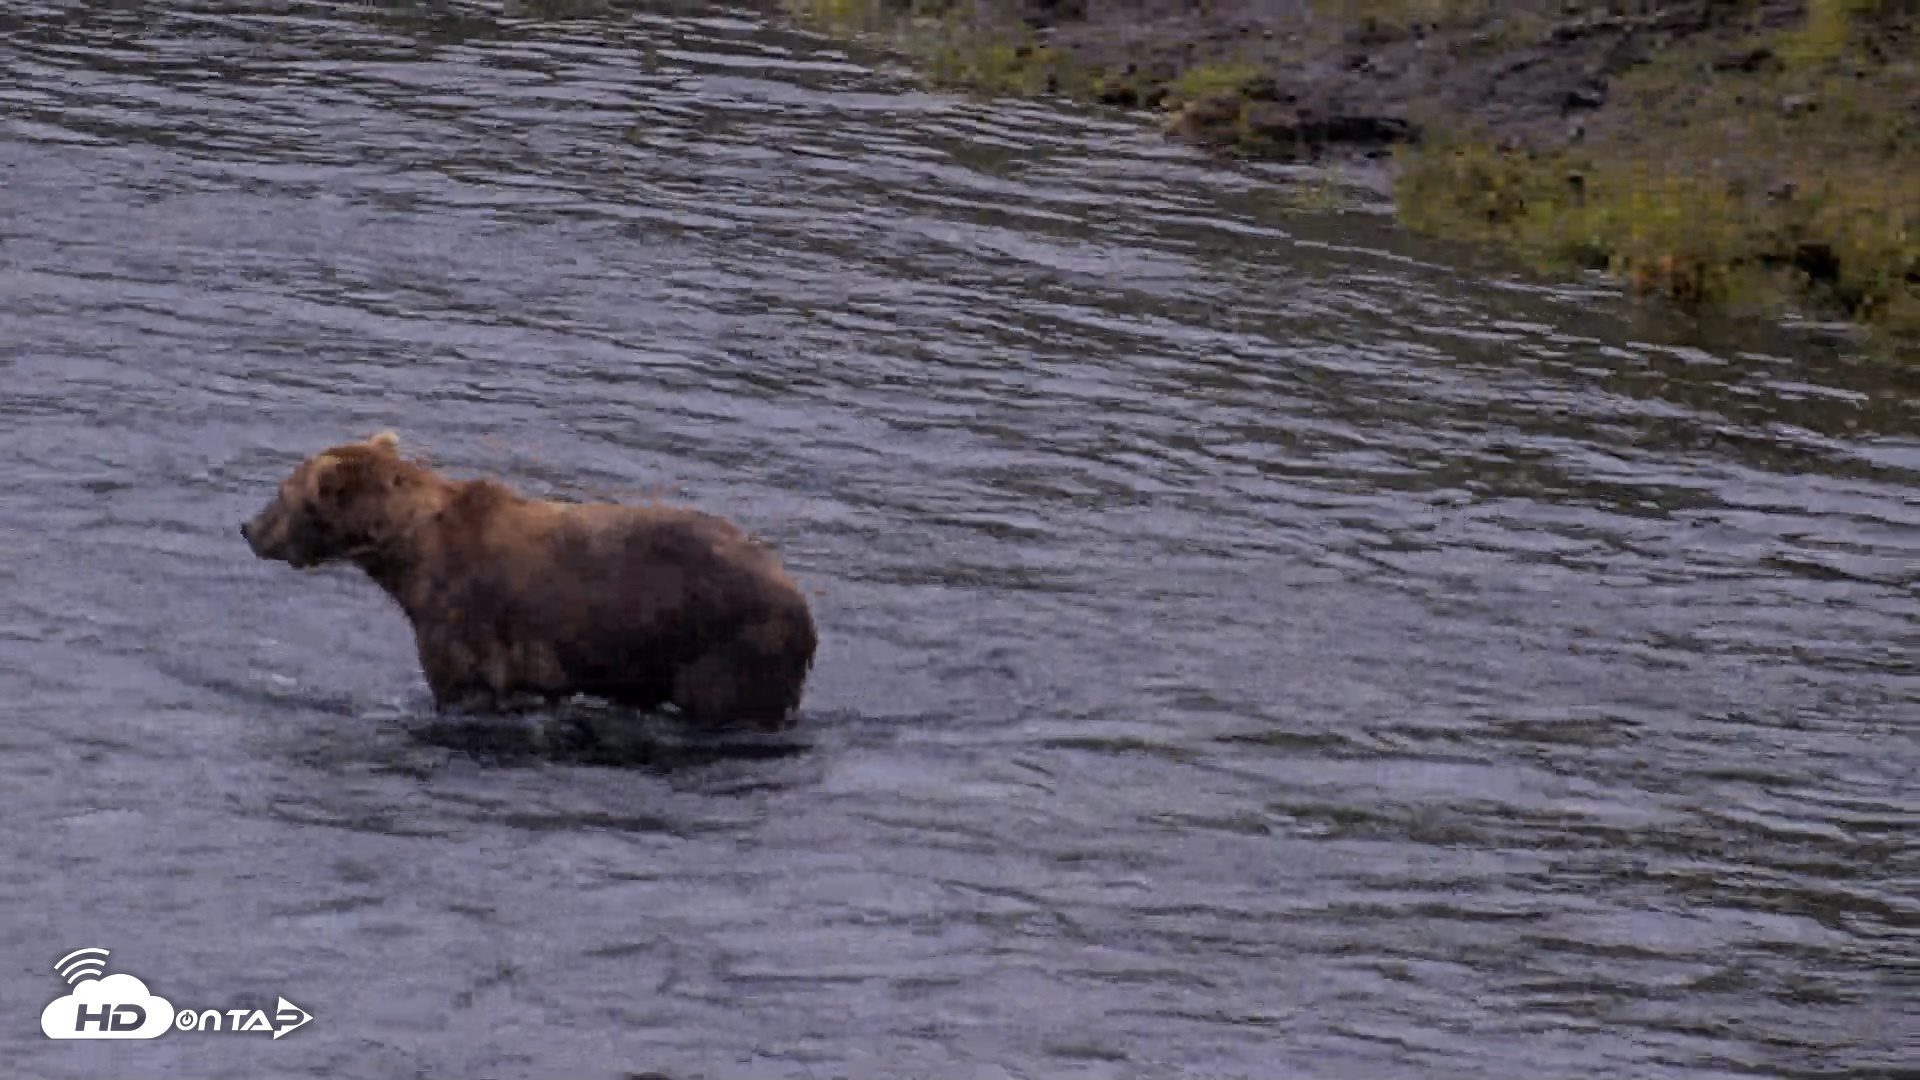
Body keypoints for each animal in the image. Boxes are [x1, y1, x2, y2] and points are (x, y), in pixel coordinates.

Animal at [240, 432, 817, 730]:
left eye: (281, 492)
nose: (248, 528)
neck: (409, 556)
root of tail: (801, 601)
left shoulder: (464, 616)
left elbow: (461, 688)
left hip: (730, 645)